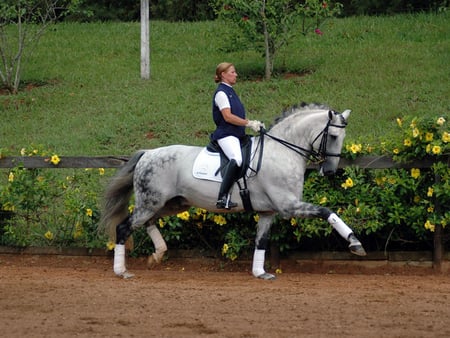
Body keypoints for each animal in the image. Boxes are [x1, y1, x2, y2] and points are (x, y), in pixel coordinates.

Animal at [102, 103, 366, 280]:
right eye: (333, 136)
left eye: (343, 136)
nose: (329, 171)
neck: (282, 151)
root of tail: (147, 153)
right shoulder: (288, 205)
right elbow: (327, 211)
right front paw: (355, 244)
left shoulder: (269, 211)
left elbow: (261, 241)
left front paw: (260, 272)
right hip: (151, 202)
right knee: (124, 228)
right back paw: (122, 271)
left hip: (172, 204)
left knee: (147, 223)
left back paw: (157, 255)